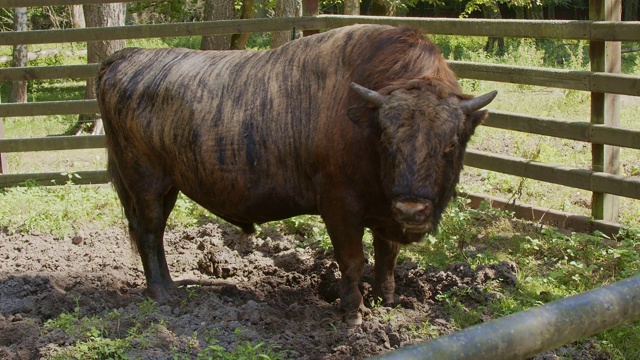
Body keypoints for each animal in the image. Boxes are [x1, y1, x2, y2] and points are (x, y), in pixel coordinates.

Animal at [96, 23, 496, 324]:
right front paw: (354, 311)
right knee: (148, 232)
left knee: (156, 232)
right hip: (144, 182)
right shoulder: (340, 208)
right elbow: (353, 261)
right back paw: (162, 293)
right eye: (387, 140)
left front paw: (389, 299)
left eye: (450, 144)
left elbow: (387, 257)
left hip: (169, 187)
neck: (361, 120)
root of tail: (126, 57)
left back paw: (171, 285)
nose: (412, 209)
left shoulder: (385, 214)